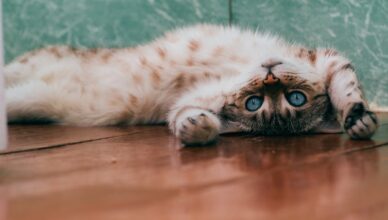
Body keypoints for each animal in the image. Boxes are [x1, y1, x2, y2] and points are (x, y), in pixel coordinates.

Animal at [4, 24, 378, 144]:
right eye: (255, 102)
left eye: (295, 99)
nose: (270, 75)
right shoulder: (326, 58)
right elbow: (347, 86)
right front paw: (358, 117)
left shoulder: (185, 102)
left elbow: (185, 116)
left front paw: (197, 128)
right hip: (22, 71)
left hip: (29, 100)